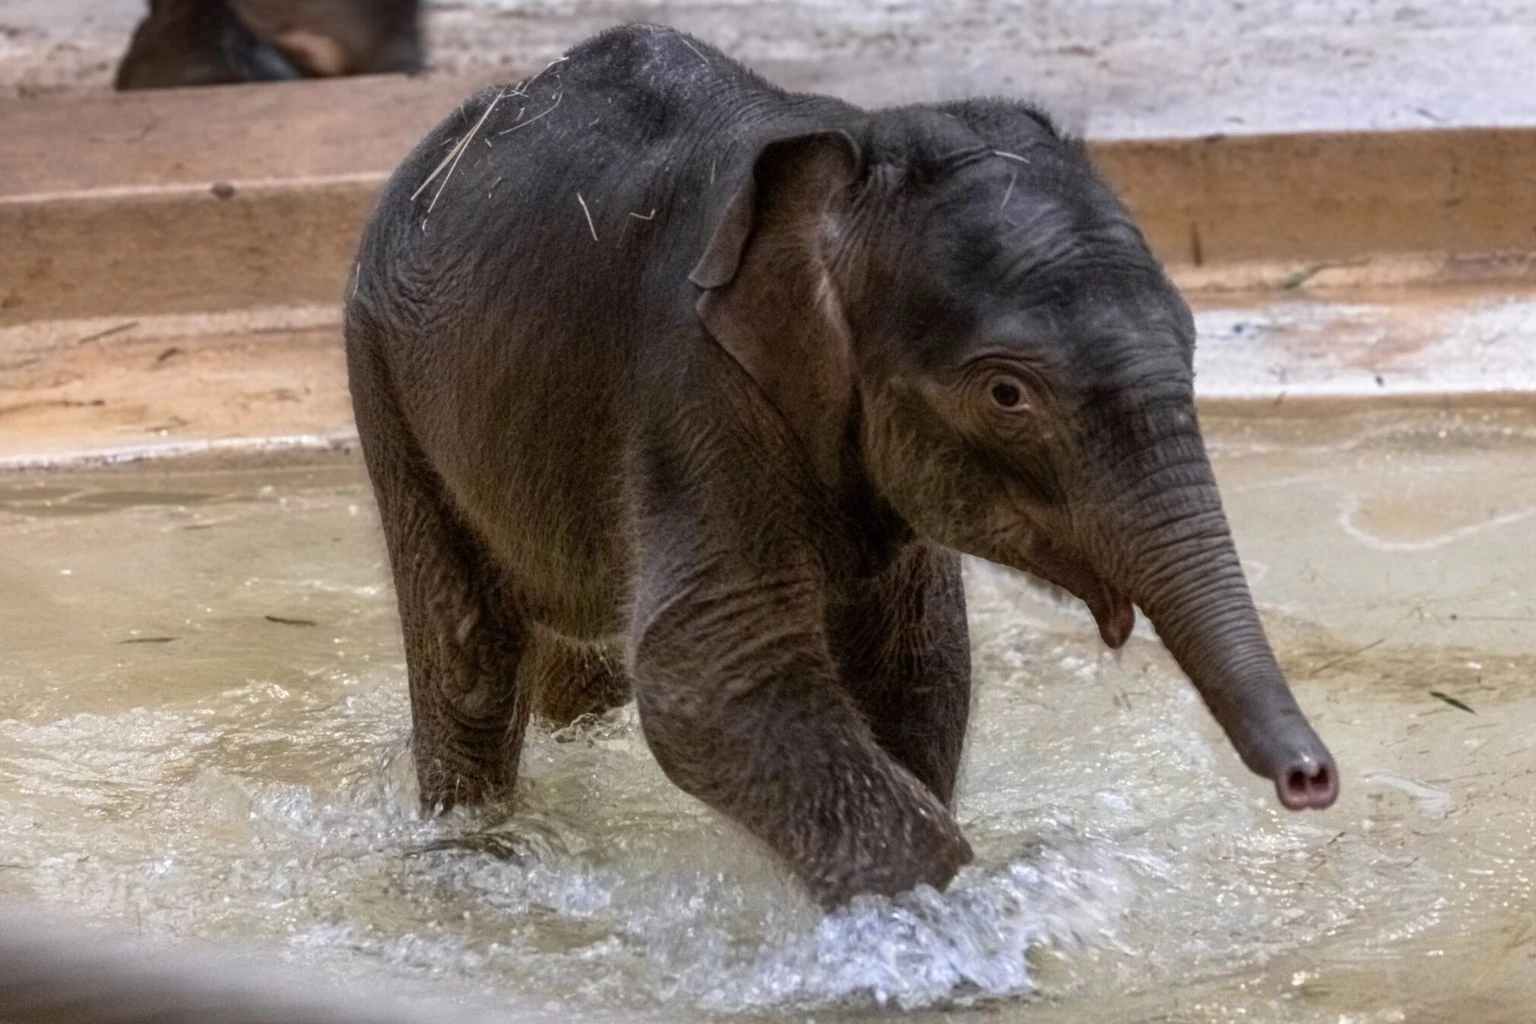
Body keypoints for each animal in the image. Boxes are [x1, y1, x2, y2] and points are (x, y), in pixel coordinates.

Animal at [344, 24, 1338, 907]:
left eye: (1193, 344)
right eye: (1007, 395)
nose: (1311, 780)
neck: (851, 152)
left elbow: (921, 661)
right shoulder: (694, 386)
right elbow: (705, 674)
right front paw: (941, 927)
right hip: (382, 370)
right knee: (470, 657)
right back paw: (472, 854)